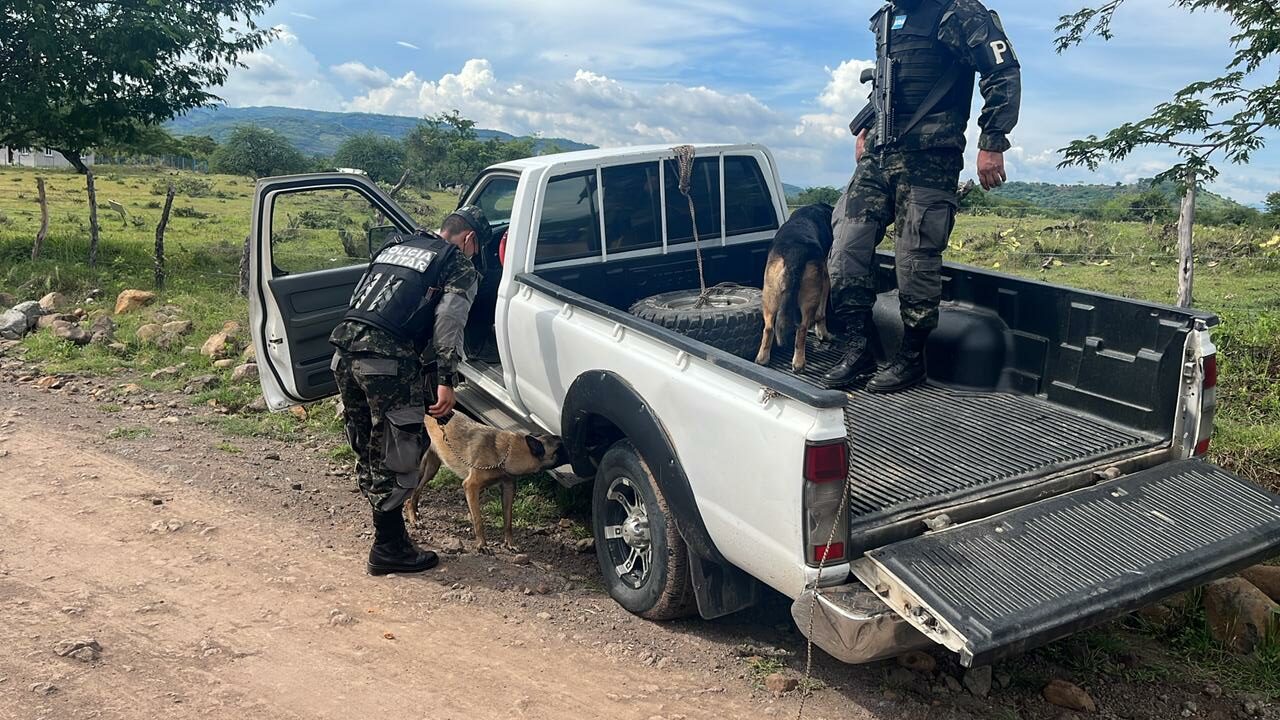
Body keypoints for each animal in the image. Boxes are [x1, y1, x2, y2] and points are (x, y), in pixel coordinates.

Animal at [405, 411, 570, 553]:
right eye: (561, 447)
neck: (504, 452)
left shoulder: (508, 488)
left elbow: (508, 521)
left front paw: (510, 543)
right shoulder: (471, 487)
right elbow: (478, 521)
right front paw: (482, 545)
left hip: (432, 468)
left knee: (416, 492)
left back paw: (416, 511)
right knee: (409, 496)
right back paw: (413, 518)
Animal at [755, 203, 836, 373]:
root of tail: (795, 251)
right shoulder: (825, 278)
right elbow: (821, 314)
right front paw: (823, 334)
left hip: (770, 295)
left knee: (769, 328)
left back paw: (762, 359)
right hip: (810, 298)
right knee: (802, 329)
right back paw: (799, 364)